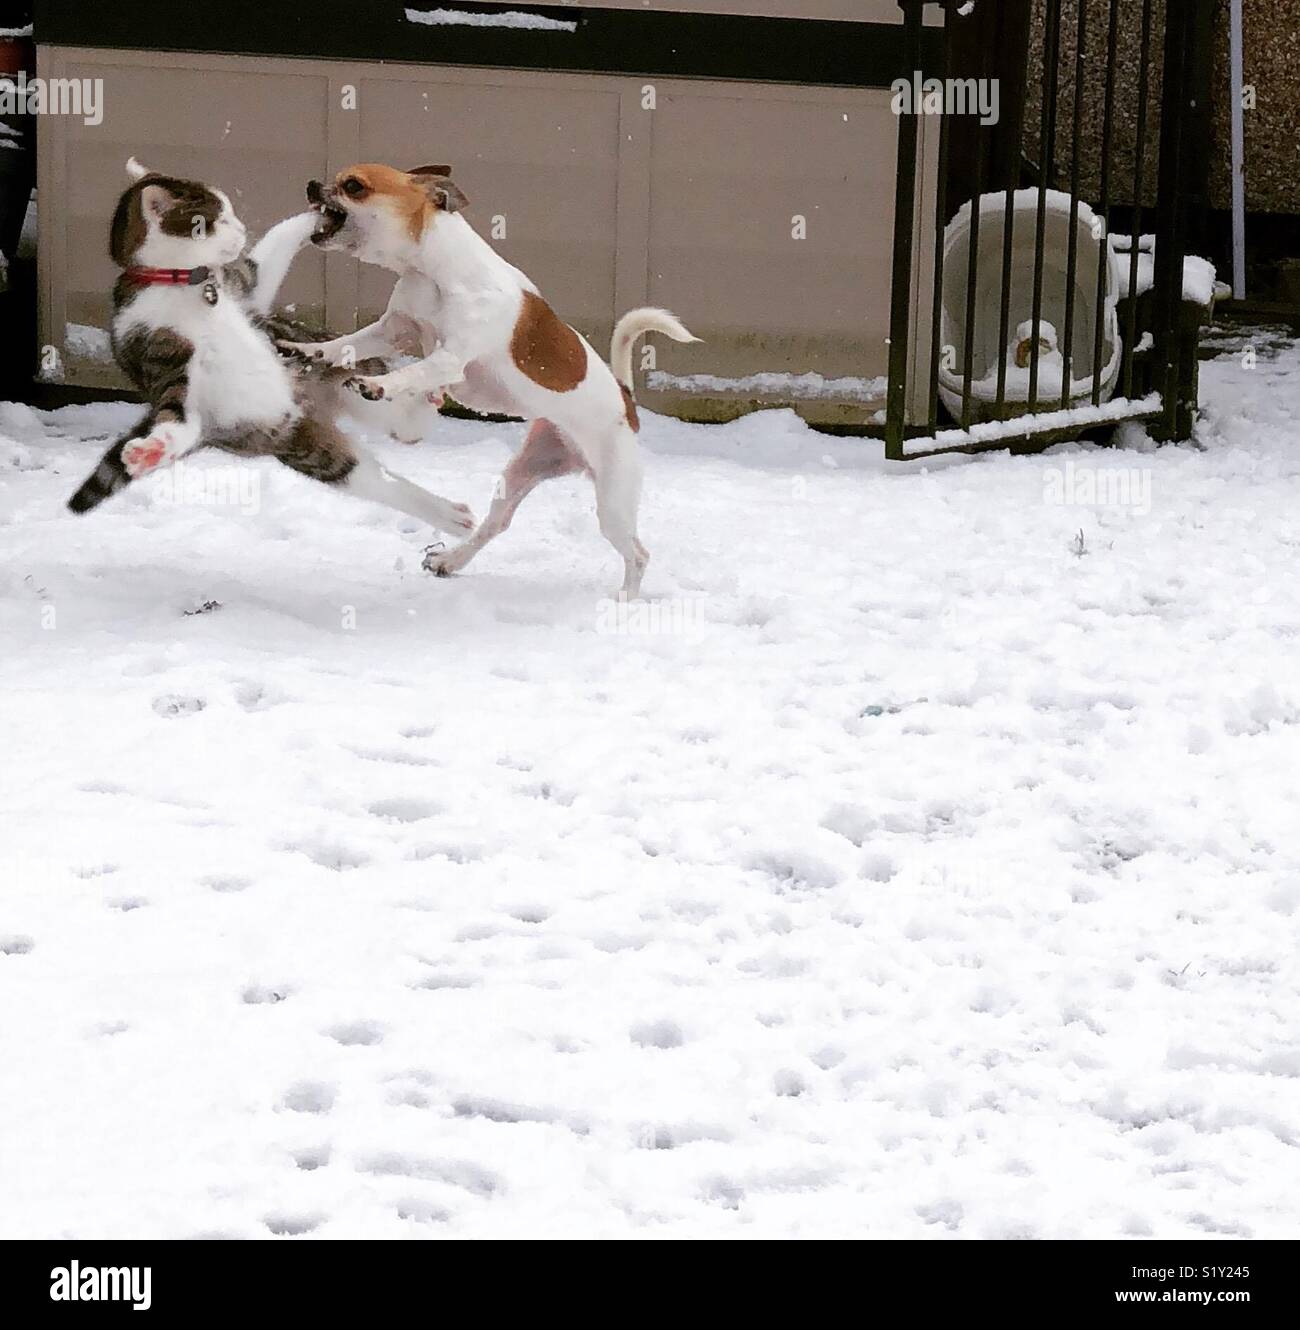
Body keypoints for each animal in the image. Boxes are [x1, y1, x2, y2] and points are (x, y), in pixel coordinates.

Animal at [64, 160, 471, 539]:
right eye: (217, 219)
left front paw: (316, 215)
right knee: (377, 475)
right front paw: (150, 450)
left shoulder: (245, 287)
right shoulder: (159, 359)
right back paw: (454, 515)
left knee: (403, 426)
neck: (183, 283)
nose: (241, 228)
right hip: (306, 448)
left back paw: (430, 405)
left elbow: (273, 249)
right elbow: (176, 415)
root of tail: (316, 408)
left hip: (337, 374)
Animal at [280, 163, 697, 595]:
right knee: (496, 523)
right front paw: (306, 350)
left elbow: (413, 371)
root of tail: (626, 400)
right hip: (521, 473)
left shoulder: (451, 358)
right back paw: (450, 560)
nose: (311, 185)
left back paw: (625, 600)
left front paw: (379, 386)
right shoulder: (391, 329)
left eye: (354, 186)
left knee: (638, 555)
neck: (435, 273)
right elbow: (346, 345)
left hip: (613, 500)